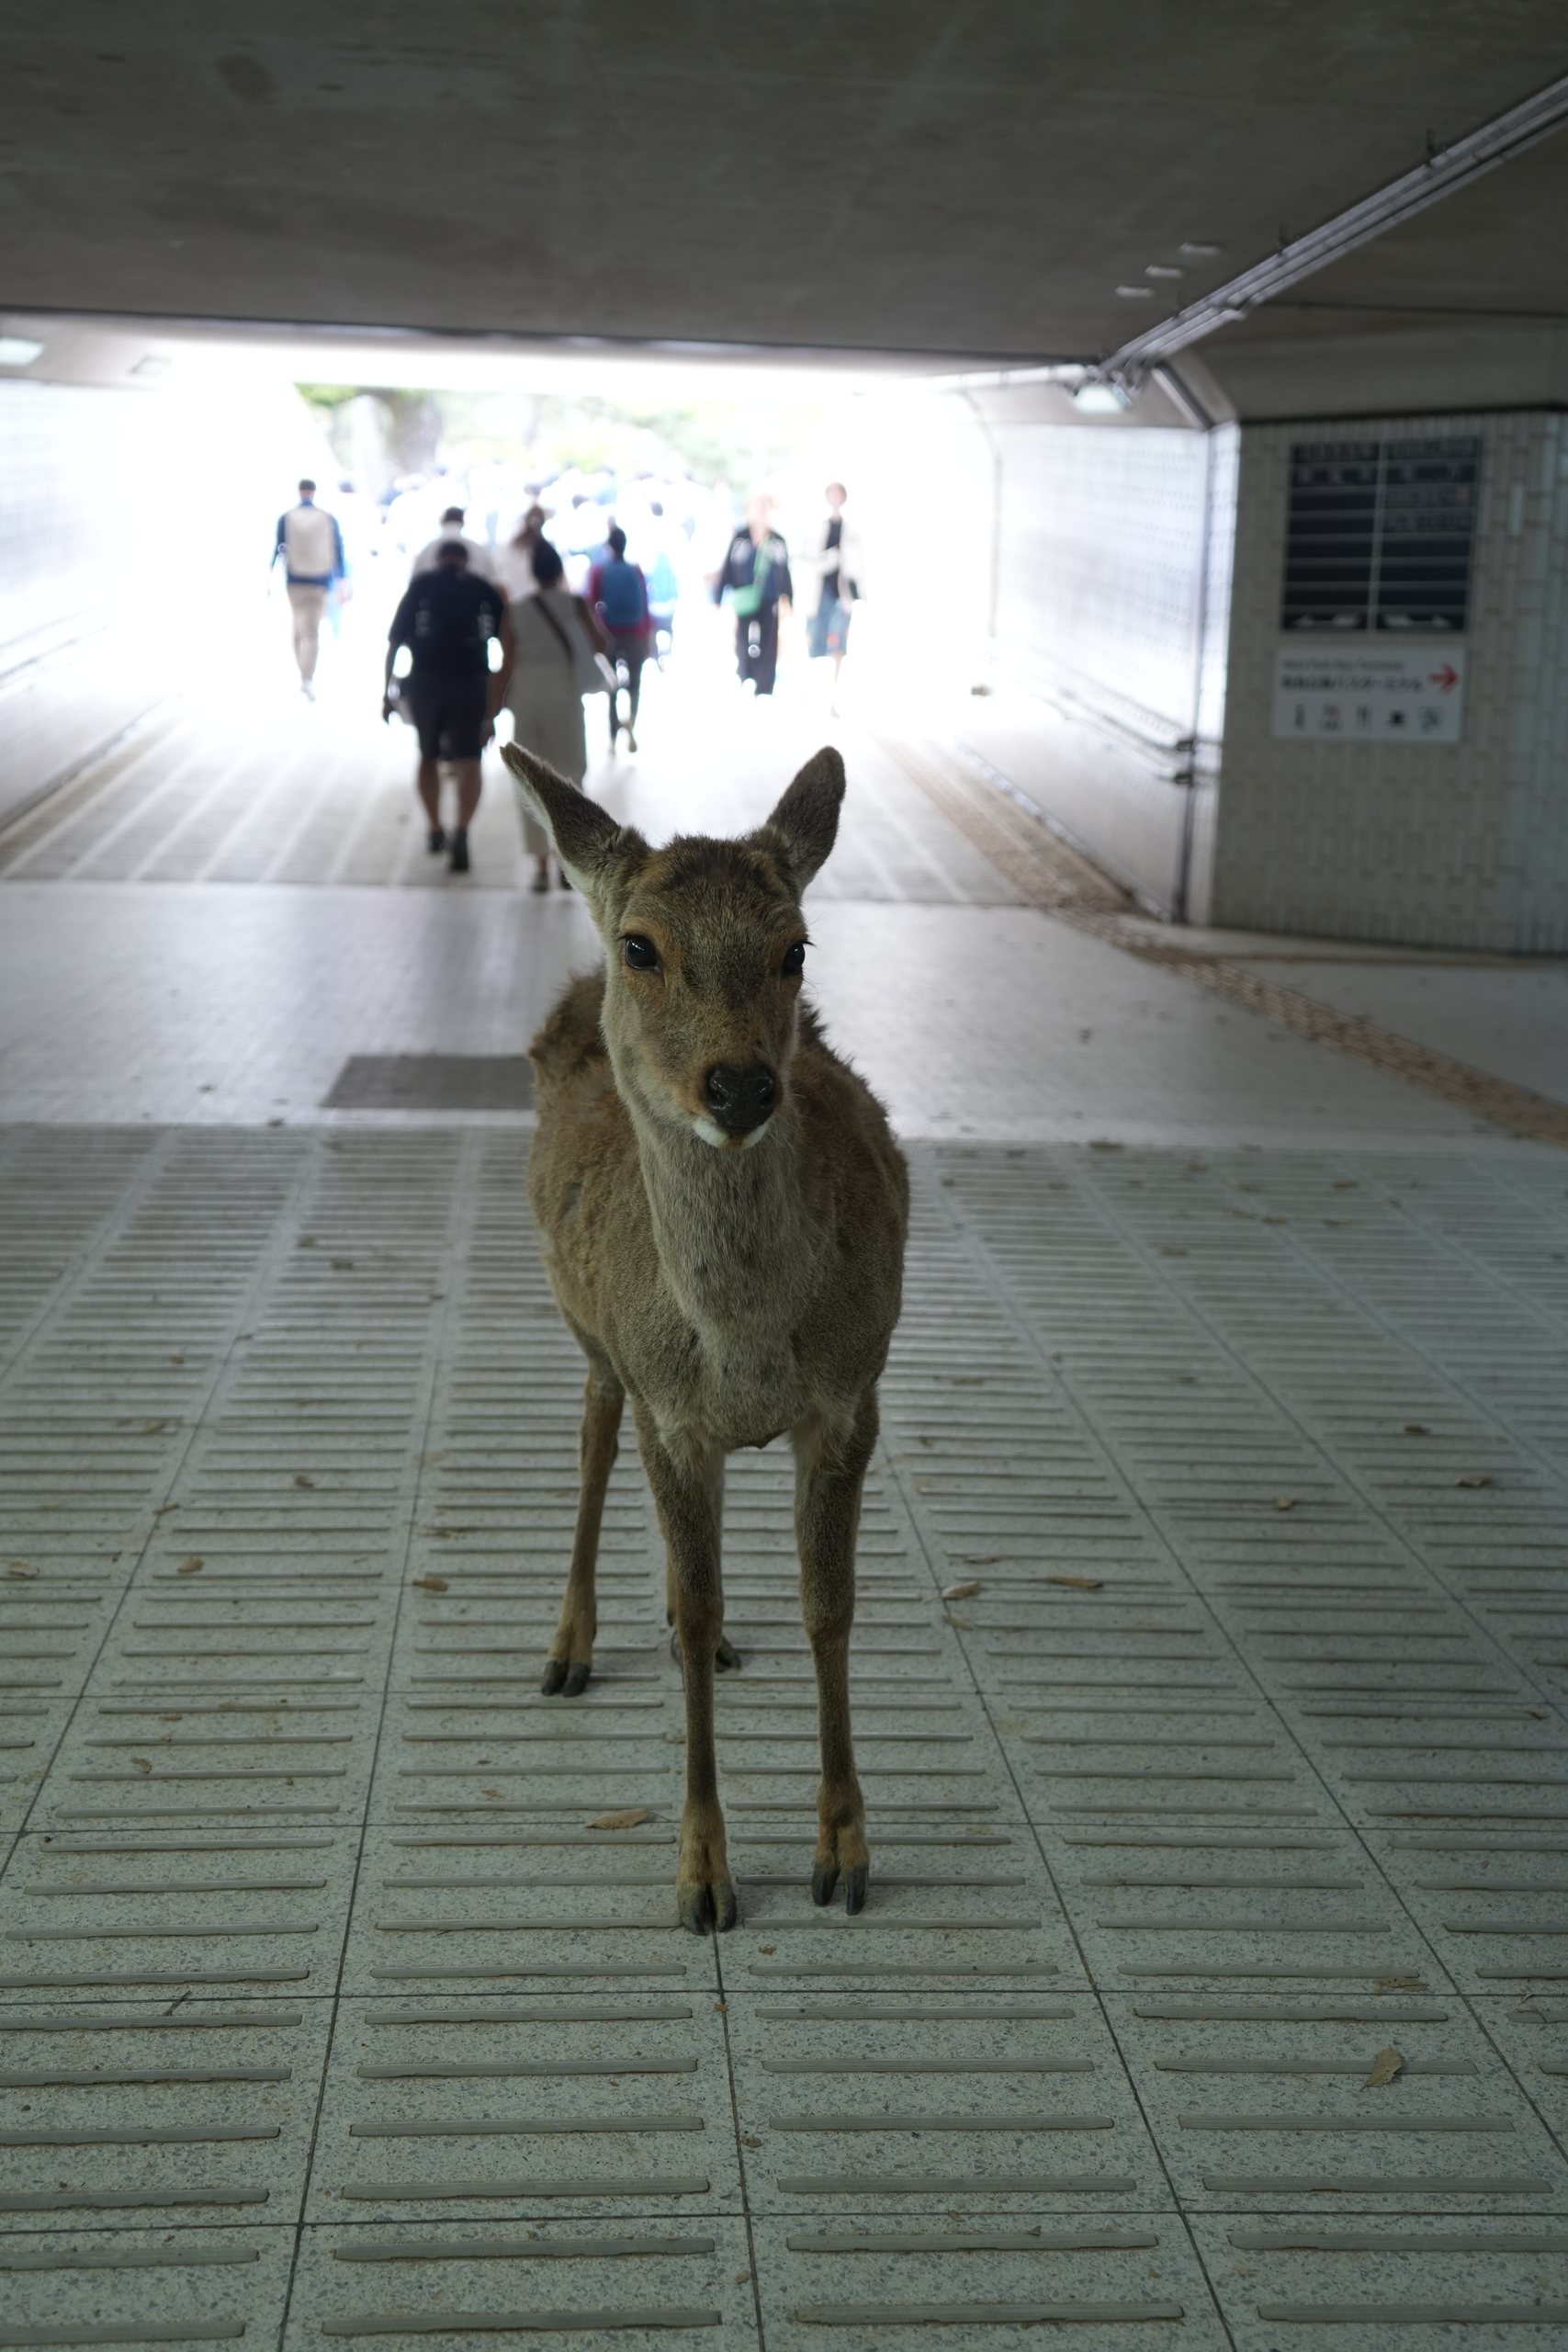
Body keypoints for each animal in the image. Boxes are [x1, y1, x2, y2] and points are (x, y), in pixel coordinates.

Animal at [501, 740, 909, 1934]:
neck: (747, 1347)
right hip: (590, 1334)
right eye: (644, 944)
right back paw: (568, 1648)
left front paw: (843, 1853)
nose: (737, 1085)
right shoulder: (667, 1407)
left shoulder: (853, 1394)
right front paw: (704, 1876)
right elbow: (685, 1605)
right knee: (594, 1438)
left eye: (795, 946)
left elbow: (828, 1604)